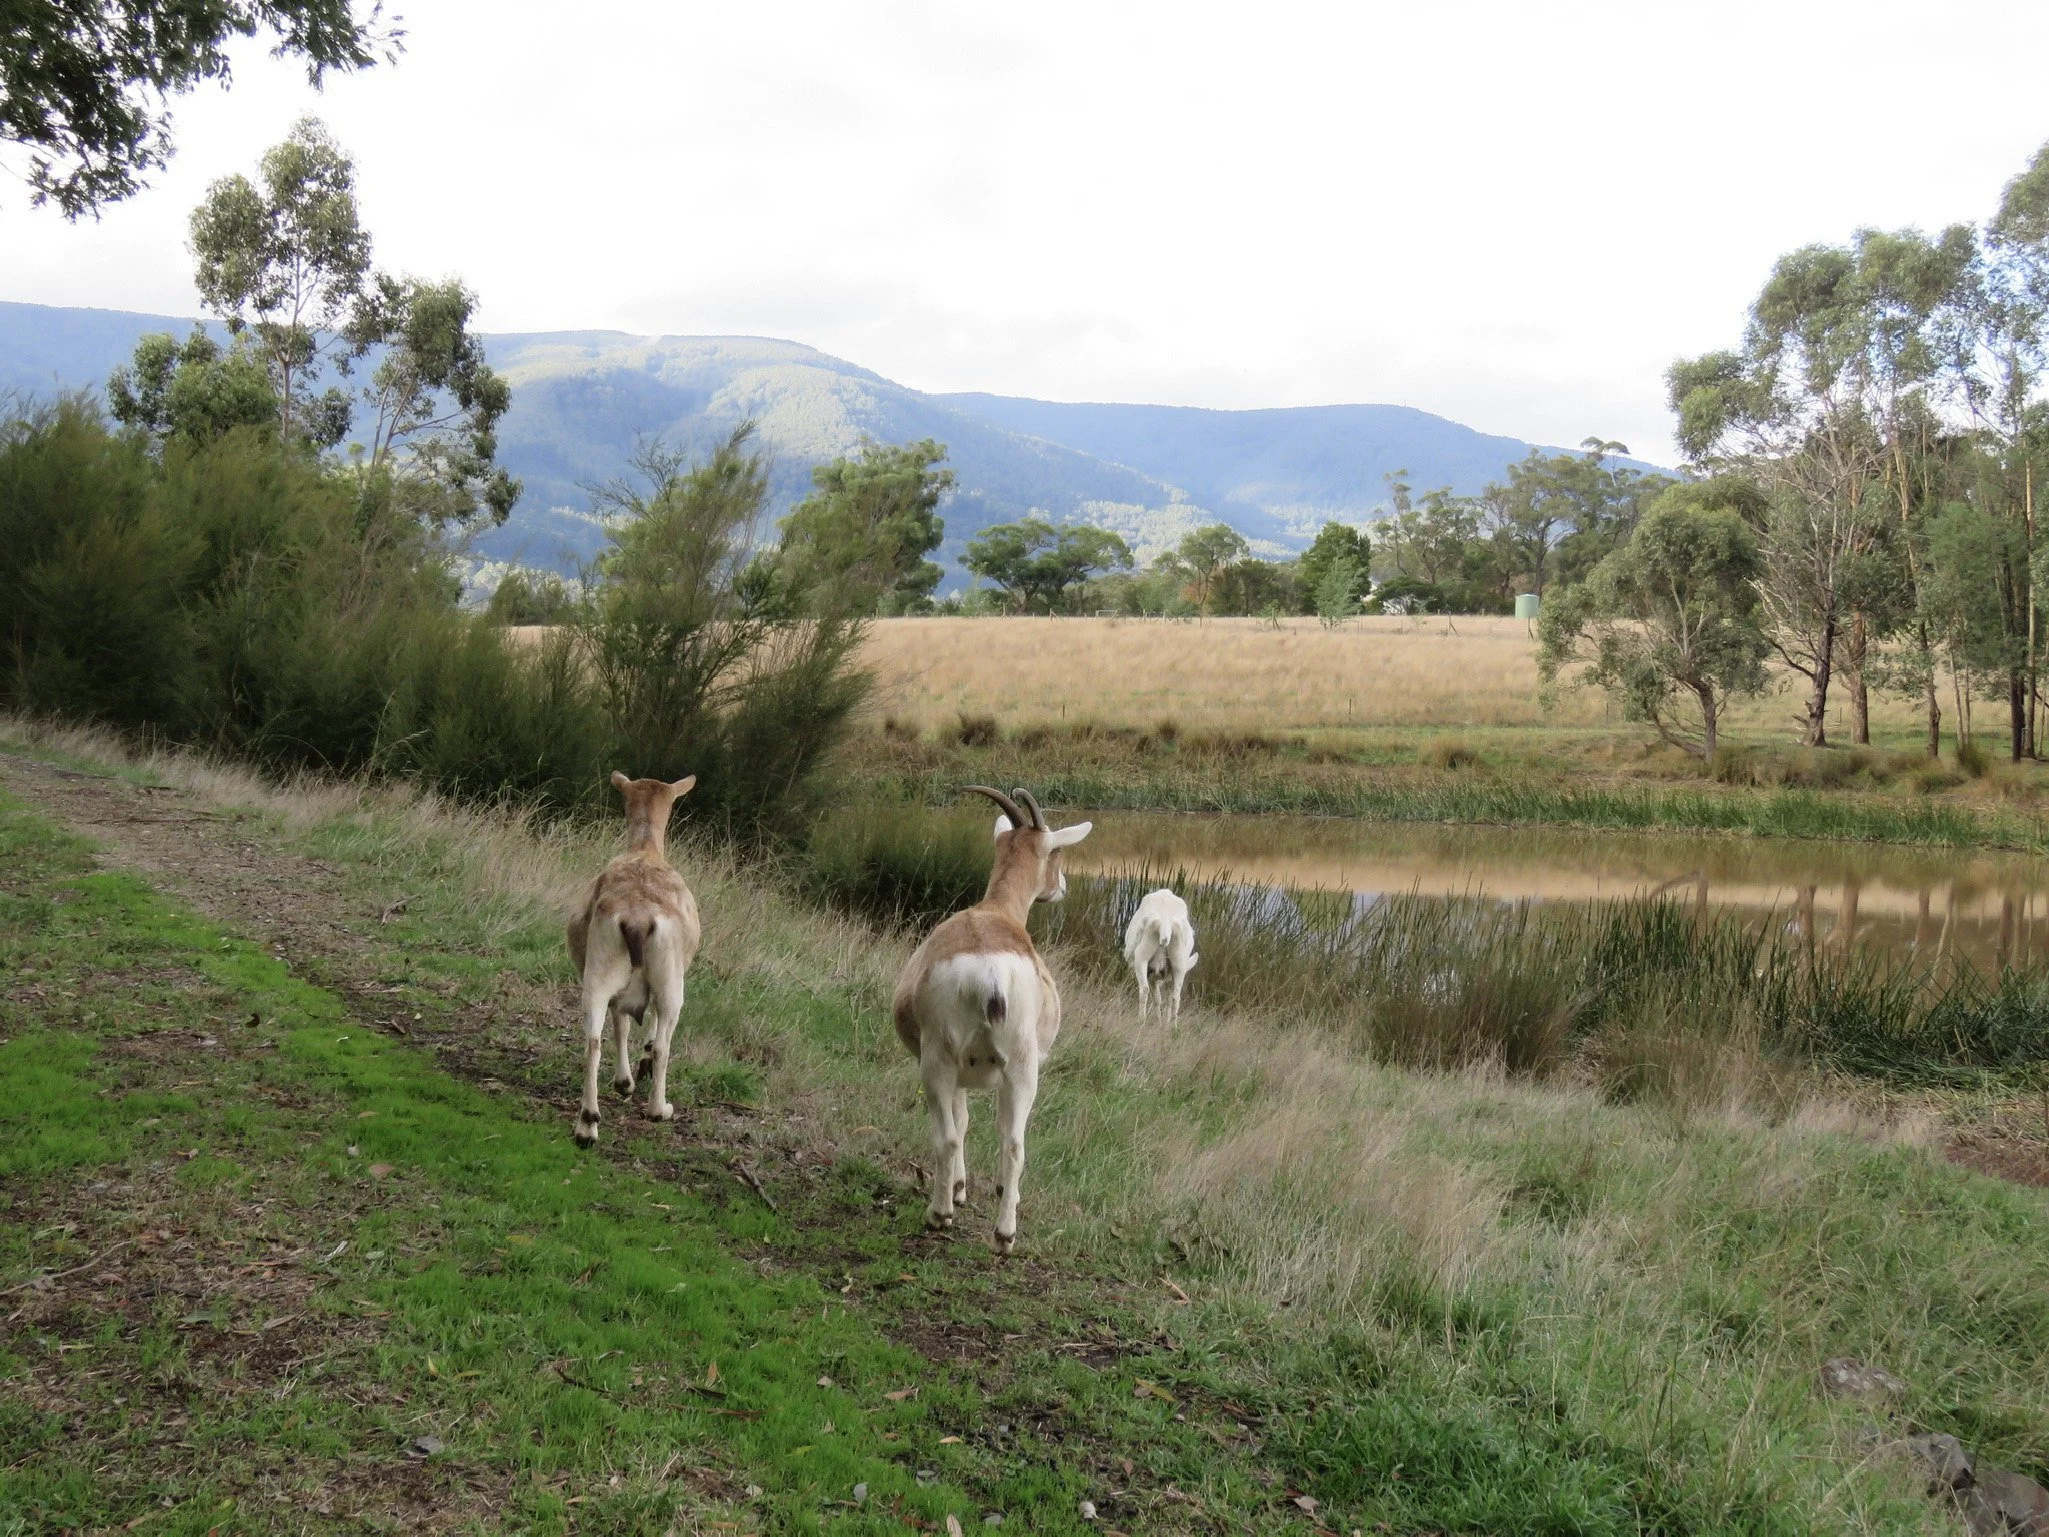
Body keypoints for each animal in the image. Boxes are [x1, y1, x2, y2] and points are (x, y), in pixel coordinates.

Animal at [566, 772, 701, 1146]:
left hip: (599, 969)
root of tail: (637, 919)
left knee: (593, 1040)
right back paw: (660, 1108)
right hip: (671, 979)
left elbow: (621, 1022)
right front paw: (630, 1078)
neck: (645, 849)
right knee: (663, 1045)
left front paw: (624, 1082)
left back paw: (587, 1124)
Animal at [891, 786, 1091, 1253]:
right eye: (1057, 853)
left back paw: (940, 1215)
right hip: (1020, 1066)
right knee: (1014, 1143)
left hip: (940, 1060)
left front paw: (960, 1191)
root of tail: (989, 972)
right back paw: (1004, 1235)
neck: (995, 911)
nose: (1062, 886)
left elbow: (962, 1122)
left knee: (948, 1136)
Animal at [1123, 887, 1197, 1026]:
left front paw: (1158, 1021)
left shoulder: (1152, 976)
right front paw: (1162, 1023)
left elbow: (1157, 998)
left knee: (1144, 989)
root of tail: (1165, 924)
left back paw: (1141, 1021)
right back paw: (1173, 1027)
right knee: (1175, 997)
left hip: (1142, 957)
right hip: (1179, 963)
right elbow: (1162, 998)